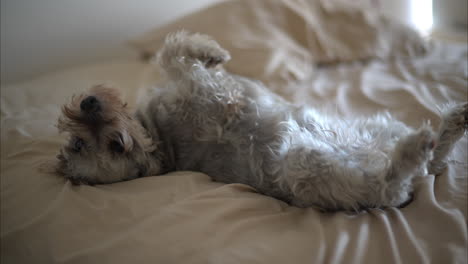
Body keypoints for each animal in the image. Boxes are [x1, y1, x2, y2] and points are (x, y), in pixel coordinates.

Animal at [56, 31, 466, 210]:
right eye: (115, 146)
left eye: (75, 141)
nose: (90, 103)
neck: (156, 135)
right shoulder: (201, 93)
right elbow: (172, 55)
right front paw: (212, 54)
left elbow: (173, 51)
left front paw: (212, 52)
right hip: (304, 162)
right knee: (394, 185)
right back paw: (416, 149)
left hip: (377, 126)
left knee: (435, 164)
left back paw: (451, 124)